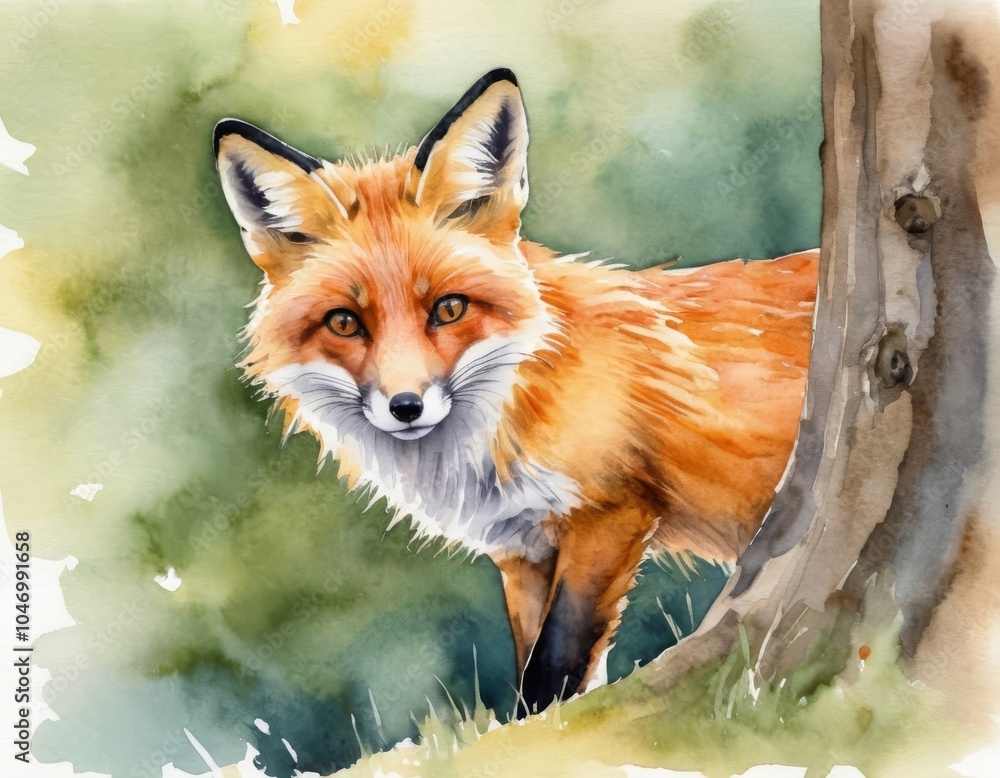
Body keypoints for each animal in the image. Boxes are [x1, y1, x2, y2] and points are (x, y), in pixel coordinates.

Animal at [213, 68, 817, 716]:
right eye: (345, 322)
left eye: (449, 309)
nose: (406, 407)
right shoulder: (523, 548)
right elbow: (550, 673)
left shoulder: (611, 514)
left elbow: (553, 666)